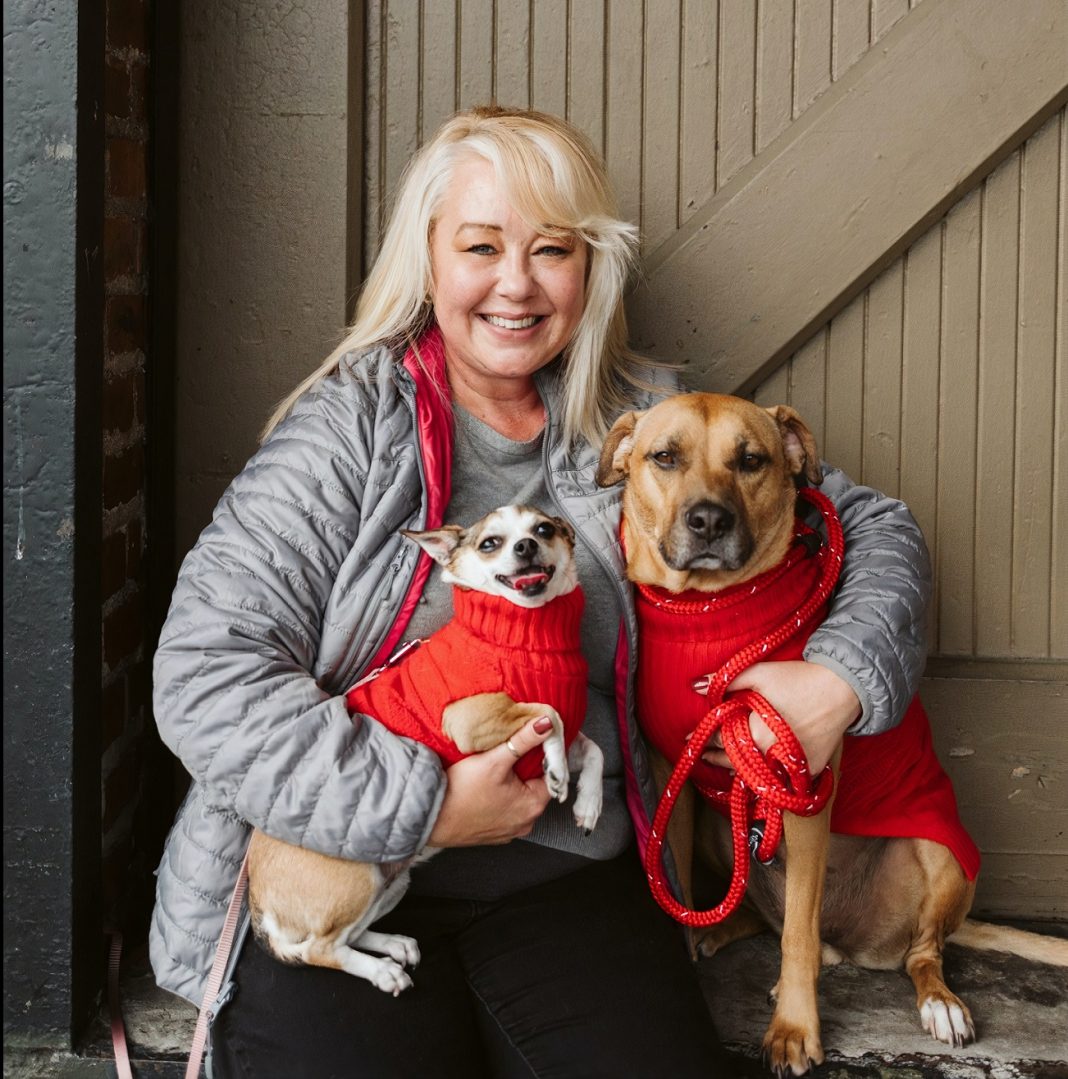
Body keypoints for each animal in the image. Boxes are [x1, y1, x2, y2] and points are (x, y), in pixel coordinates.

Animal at [247, 504, 604, 992]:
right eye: (490, 543)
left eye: (544, 529)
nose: (526, 546)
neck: (526, 636)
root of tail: (257, 903)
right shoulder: (469, 720)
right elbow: (550, 713)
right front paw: (556, 770)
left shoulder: (566, 734)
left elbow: (593, 749)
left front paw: (588, 803)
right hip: (358, 878)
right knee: (319, 949)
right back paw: (382, 972)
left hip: (392, 883)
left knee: (345, 937)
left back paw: (393, 945)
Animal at [599, 397, 1068, 1079]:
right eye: (665, 457)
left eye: (751, 460)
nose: (709, 520)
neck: (710, 614)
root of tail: (851, 946)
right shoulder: (671, 778)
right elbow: (678, 883)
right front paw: (689, 948)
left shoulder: (801, 789)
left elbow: (797, 932)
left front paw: (794, 1029)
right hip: (722, 825)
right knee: (770, 918)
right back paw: (723, 929)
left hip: (943, 857)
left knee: (914, 953)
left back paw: (939, 1003)